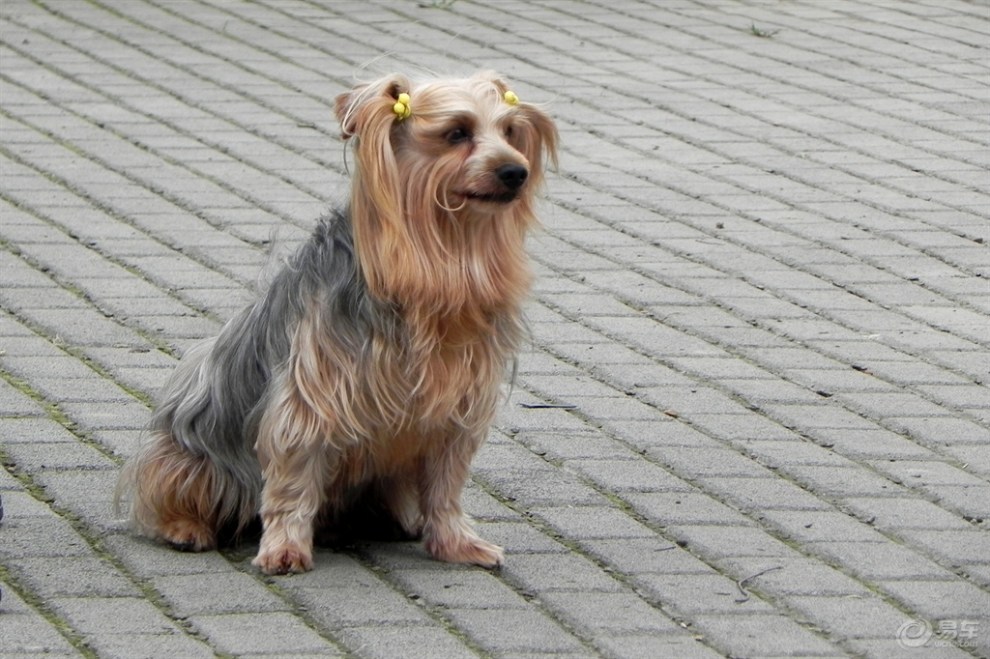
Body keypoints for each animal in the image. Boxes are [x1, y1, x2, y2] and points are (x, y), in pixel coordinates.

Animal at [116, 71, 558, 575]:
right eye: (457, 133)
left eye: (509, 132)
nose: (516, 172)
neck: (440, 251)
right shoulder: (311, 399)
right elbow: (292, 477)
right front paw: (284, 549)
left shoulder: (456, 407)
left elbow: (446, 485)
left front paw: (456, 542)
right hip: (193, 452)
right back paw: (186, 527)